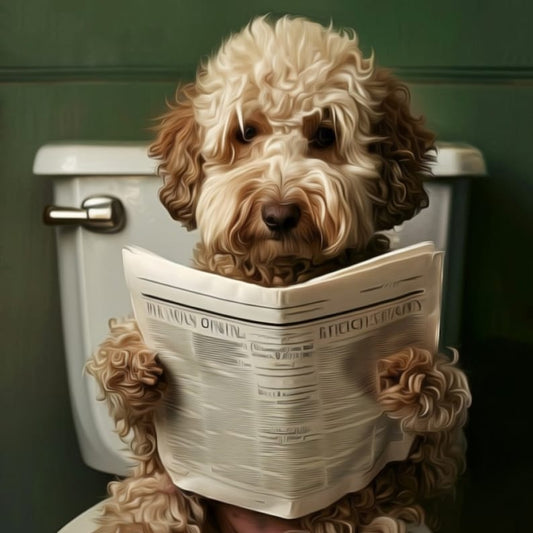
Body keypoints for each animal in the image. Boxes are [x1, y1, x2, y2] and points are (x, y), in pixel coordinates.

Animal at [86, 16, 470, 532]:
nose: (279, 213)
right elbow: (138, 409)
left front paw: (422, 377)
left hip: (383, 520)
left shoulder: (421, 470)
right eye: (245, 132)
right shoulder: (156, 445)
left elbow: (437, 432)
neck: (281, 274)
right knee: (156, 500)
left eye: (326, 134)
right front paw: (127, 358)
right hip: (154, 497)